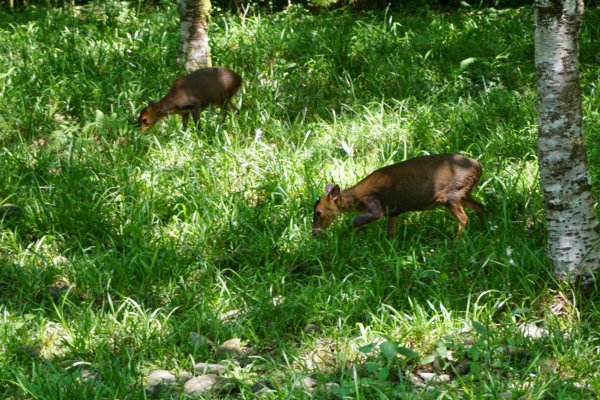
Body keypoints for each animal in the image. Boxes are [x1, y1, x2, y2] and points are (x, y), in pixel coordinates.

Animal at [312, 154, 486, 238]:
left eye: (318, 212)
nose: (313, 233)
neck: (357, 200)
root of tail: (479, 166)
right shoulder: (393, 211)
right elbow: (391, 233)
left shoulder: (375, 207)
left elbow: (355, 221)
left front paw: (347, 233)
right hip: (463, 192)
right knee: (480, 206)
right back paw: (484, 228)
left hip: (451, 195)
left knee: (464, 218)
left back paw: (457, 242)